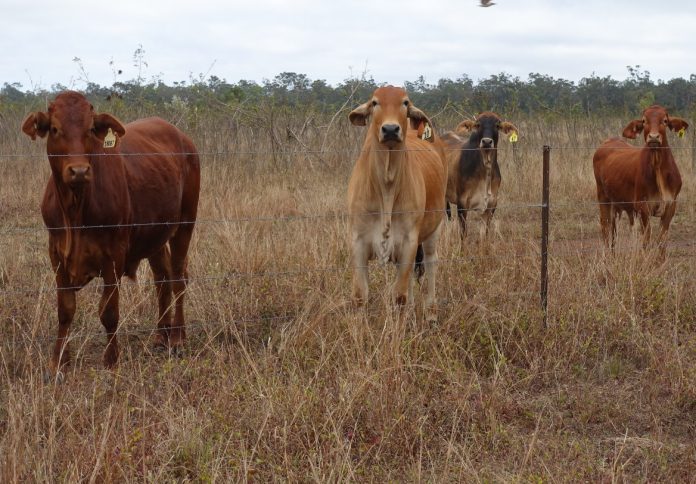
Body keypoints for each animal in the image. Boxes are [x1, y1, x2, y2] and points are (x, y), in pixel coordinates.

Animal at [22, 91, 200, 379]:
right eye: (55, 129)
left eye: (90, 130)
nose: (79, 171)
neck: (75, 212)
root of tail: (182, 137)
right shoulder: (56, 254)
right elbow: (65, 310)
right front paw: (58, 362)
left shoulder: (114, 256)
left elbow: (109, 312)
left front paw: (111, 360)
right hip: (155, 235)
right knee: (162, 278)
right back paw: (161, 336)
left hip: (185, 223)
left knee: (178, 278)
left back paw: (177, 338)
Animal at [347, 86, 447, 321]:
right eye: (375, 102)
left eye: (405, 102)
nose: (391, 129)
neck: (387, 184)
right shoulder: (358, 241)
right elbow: (360, 295)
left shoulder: (409, 240)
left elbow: (399, 296)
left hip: (434, 229)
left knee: (431, 263)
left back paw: (431, 312)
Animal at [440, 112, 518, 241]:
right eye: (478, 124)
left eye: (497, 125)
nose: (486, 142)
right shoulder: (462, 205)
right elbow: (463, 234)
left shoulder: (491, 205)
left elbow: (484, 235)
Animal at [592, 104, 688, 252]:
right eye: (644, 121)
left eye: (665, 120)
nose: (653, 137)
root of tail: (608, 141)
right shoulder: (643, 207)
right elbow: (646, 242)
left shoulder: (671, 205)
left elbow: (661, 243)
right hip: (603, 197)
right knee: (606, 228)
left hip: (615, 202)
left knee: (613, 230)